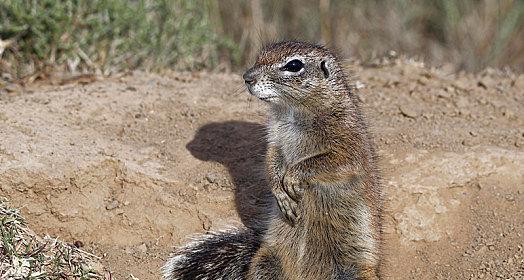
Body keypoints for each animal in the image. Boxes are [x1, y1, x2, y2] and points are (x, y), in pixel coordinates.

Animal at [162, 41, 382, 280]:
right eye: (260, 56)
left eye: (294, 65)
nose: (247, 77)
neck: (292, 111)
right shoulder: (274, 140)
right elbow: (271, 161)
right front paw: (280, 193)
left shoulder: (348, 142)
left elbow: (332, 162)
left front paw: (293, 177)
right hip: (266, 261)